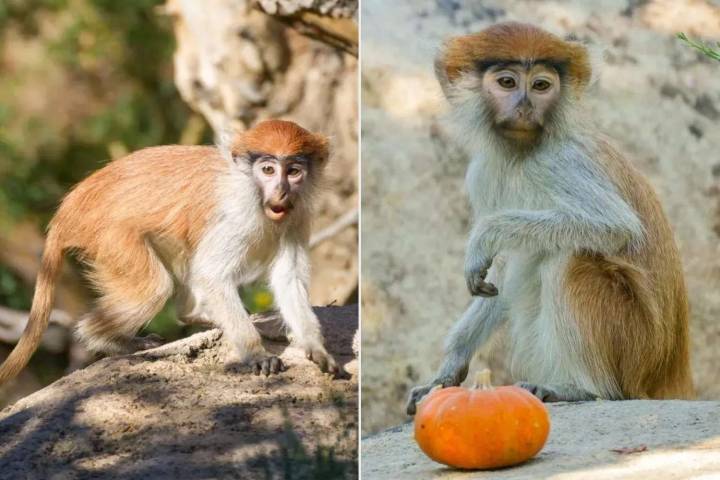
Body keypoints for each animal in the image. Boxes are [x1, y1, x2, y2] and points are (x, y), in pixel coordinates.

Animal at [0, 119, 339, 384]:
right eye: (268, 169)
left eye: (293, 171)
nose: (281, 191)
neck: (248, 185)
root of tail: (71, 207)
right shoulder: (237, 214)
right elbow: (211, 275)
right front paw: (256, 353)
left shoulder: (297, 217)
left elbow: (288, 278)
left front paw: (316, 348)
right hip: (113, 237)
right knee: (153, 289)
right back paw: (109, 340)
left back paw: (196, 315)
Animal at [406, 22, 694, 414]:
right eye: (507, 82)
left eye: (541, 85)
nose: (526, 107)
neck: (521, 152)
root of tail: (665, 373)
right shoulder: (484, 172)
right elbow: (500, 275)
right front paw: (446, 372)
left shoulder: (560, 162)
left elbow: (615, 226)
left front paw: (484, 238)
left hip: (633, 347)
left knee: (568, 258)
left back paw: (579, 388)